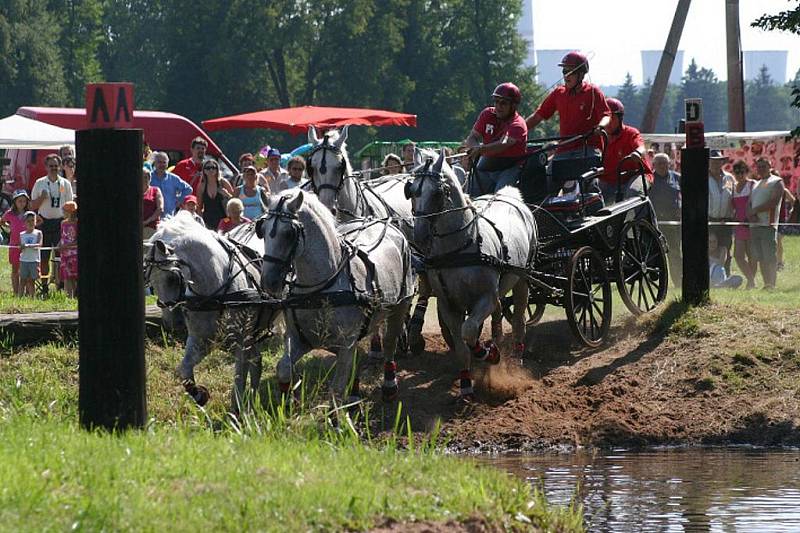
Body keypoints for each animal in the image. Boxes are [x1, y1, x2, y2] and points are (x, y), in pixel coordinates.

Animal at [145, 212, 280, 412]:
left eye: (171, 278)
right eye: (151, 283)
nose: (172, 324)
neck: (214, 292)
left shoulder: (240, 342)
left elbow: (239, 380)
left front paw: (236, 412)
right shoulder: (202, 340)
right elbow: (184, 370)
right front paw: (199, 394)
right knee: (257, 360)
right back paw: (253, 397)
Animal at [258, 189, 418, 402]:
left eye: (289, 233)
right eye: (262, 230)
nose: (269, 281)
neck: (319, 291)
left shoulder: (345, 344)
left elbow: (337, 388)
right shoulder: (300, 339)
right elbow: (283, 368)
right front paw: (288, 402)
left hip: (401, 304)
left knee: (390, 342)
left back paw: (389, 383)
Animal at [406, 150, 536, 400]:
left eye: (438, 193)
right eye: (411, 190)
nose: (419, 235)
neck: (459, 249)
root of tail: (508, 196)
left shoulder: (485, 298)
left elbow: (468, 331)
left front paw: (489, 354)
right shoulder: (449, 305)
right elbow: (461, 346)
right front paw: (467, 383)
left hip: (523, 278)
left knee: (518, 321)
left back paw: (516, 357)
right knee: (498, 314)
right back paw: (496, 342)